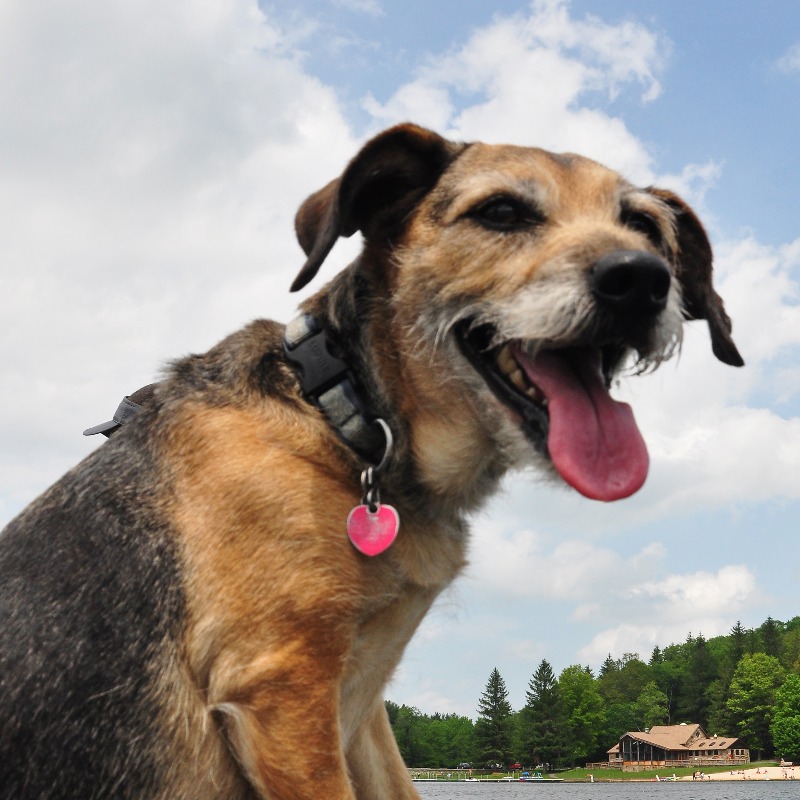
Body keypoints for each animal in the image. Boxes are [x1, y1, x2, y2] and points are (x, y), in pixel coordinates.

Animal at [0, 123, 742, 799]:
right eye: (501, 212)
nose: (642, 280)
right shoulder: (283, 691)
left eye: (643, 225)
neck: (347, 415)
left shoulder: (359, 714)